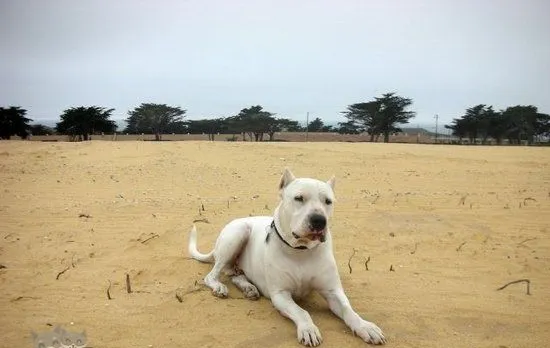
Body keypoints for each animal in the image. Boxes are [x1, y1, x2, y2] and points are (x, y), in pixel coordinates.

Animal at [190, 168, 388, 346]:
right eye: (299, 198)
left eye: (328, 201)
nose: (319, 220)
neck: (301, 251)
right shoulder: (281, 295)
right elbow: (301, 312)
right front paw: (308, 329)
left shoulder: (333, 292)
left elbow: (349, 310)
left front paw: (365, 326)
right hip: (237, 233)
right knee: (212, 274)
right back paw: (220, 286)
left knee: (235, 274)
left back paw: (249, 288)